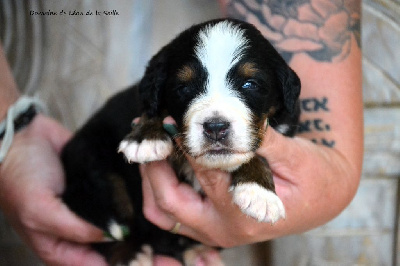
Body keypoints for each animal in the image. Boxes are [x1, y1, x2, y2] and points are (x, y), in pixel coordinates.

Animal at [61, 18, 300, 264]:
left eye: (250, 84)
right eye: (183, 88)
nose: (215, 127)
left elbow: (255, 153)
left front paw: (258, 192)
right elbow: (154, 109)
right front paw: (145, 137)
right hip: (91, 160)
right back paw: (131, 255)